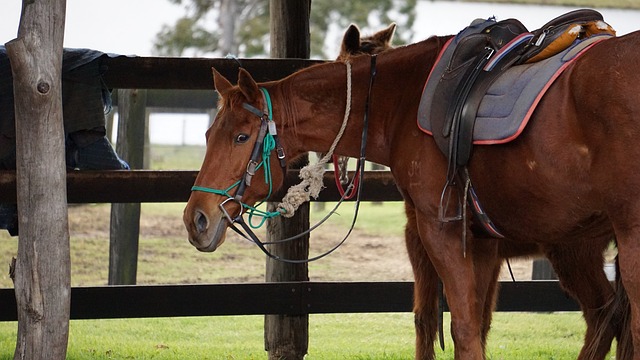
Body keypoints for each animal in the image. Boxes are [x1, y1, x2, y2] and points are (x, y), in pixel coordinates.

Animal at [181, 27, 640, 358]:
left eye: (241, 136)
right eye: (206, 134)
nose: (196, 218)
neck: (404, 100)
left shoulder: (434, 233)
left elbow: (450, 326)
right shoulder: (481, 243)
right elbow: (472, 324)